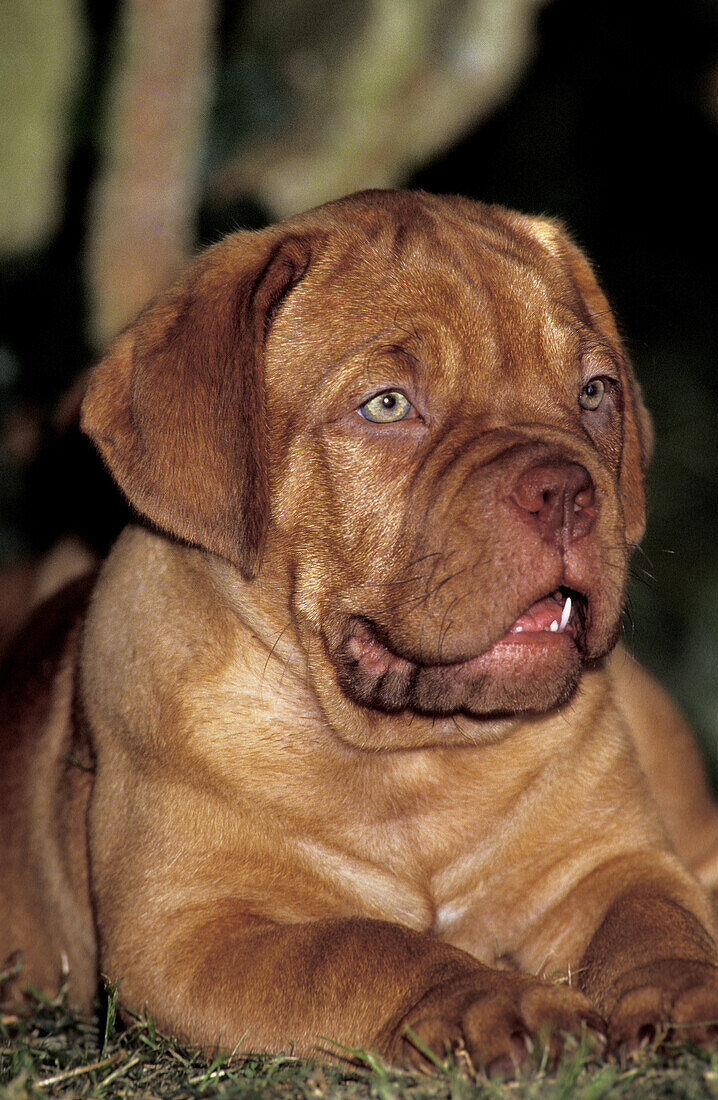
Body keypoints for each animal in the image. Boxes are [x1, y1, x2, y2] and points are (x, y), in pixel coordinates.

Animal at [1, 191, 716, 1073]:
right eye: (388, 405)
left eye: (593, 391)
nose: (567, 492)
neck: (415, 757)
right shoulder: (187, 936)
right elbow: (365, 949)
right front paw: (501, 1001)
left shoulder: (610, 863)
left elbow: (658, 922)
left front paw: (689, 990)